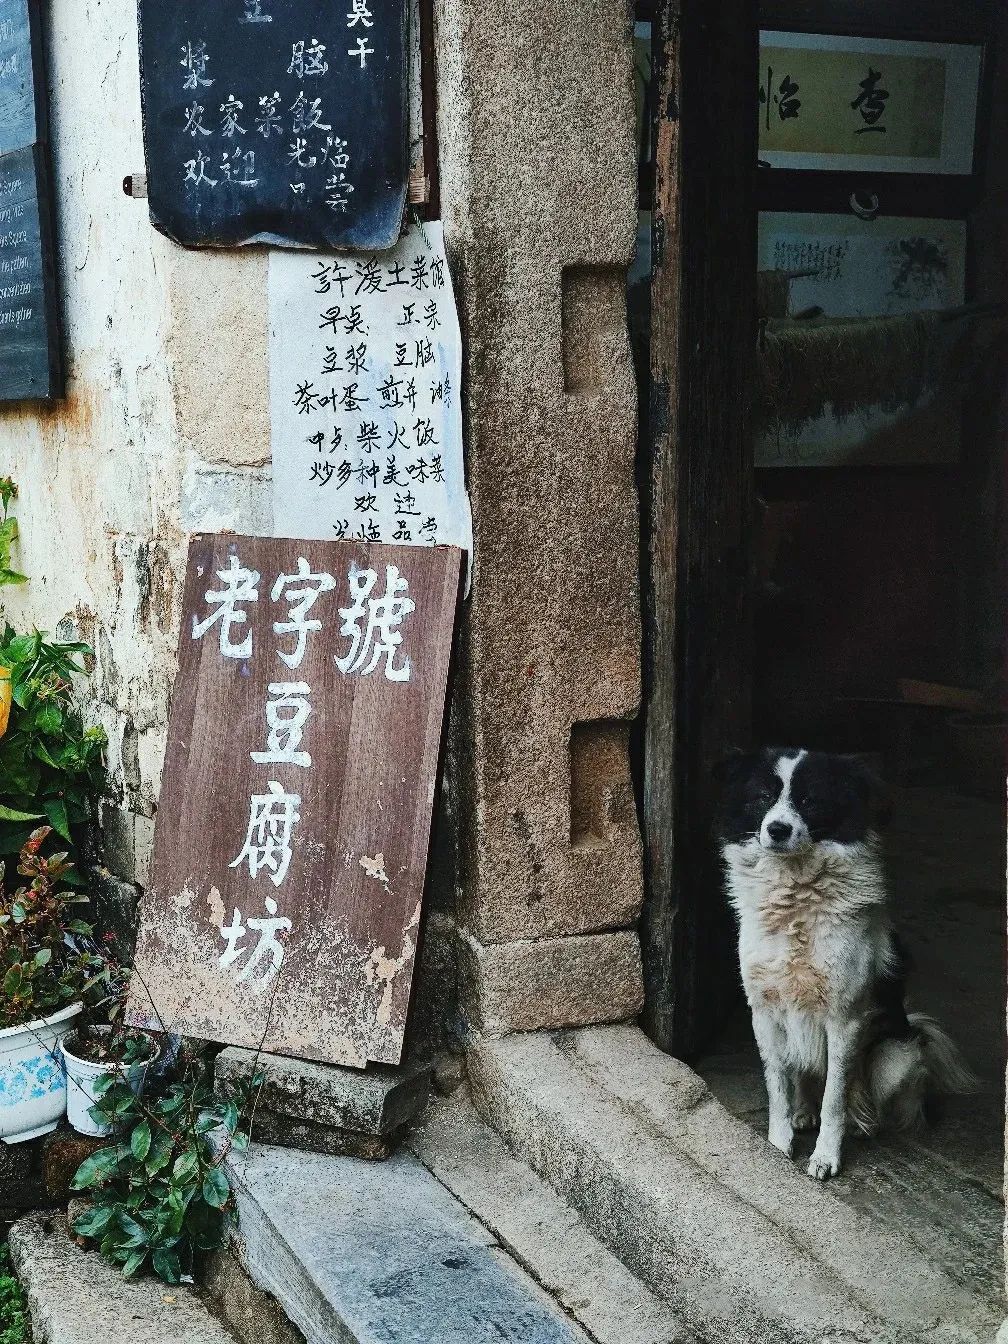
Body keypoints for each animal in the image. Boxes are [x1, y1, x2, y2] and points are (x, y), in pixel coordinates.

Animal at [720, 752, 973, 1182]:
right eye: (763, 796)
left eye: (810, 800)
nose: (777, 830)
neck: (795, 899)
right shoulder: (764, 1009)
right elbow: (778, 1085)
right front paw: (778, 1145)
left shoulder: (845, 1018)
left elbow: (835, 1097)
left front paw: (825, 1156)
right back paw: (805, 1112)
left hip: (895, 1057)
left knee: (867, 1097)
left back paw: (862, 1122)